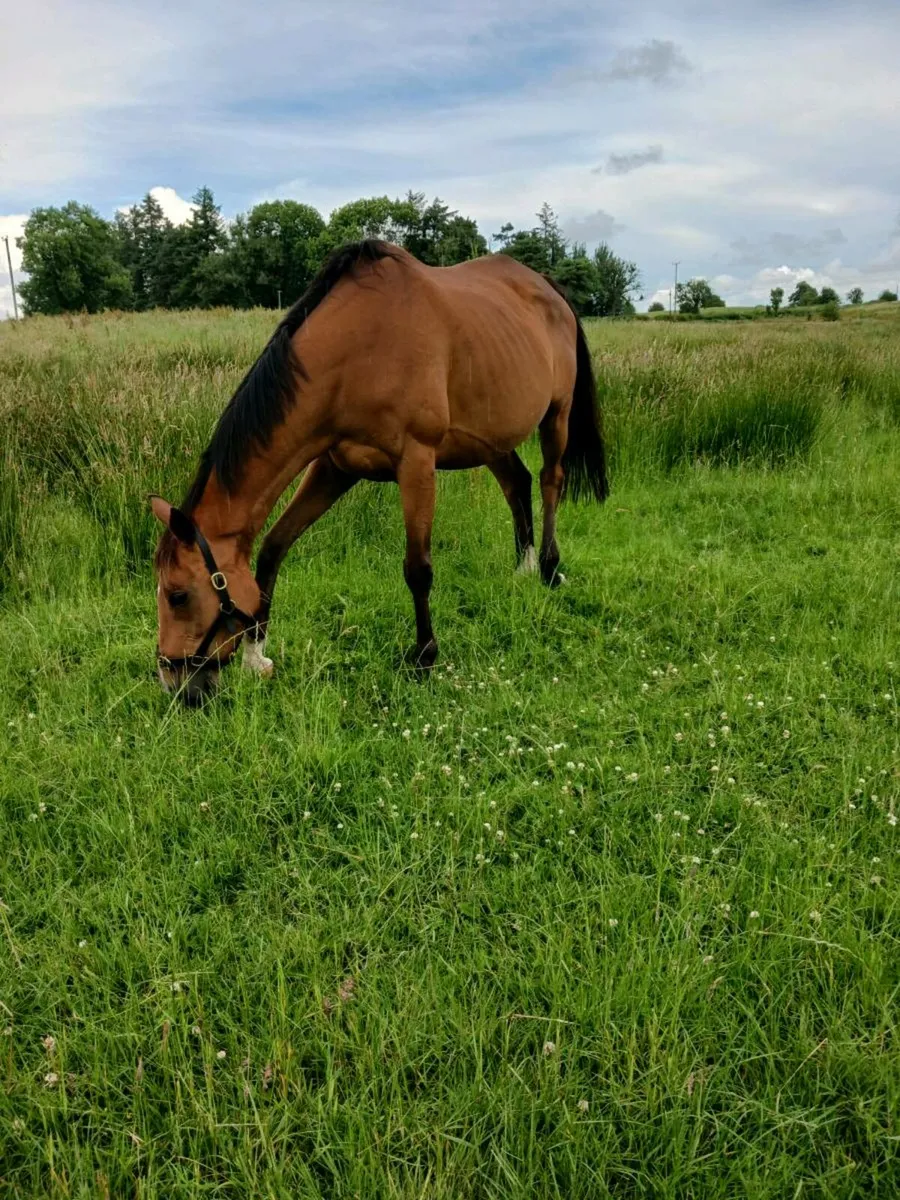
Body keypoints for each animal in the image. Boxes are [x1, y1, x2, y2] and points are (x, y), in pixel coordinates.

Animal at [151, 239, 607, 705]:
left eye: (178, 595)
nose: (174, 682)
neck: (356, 353)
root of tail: (549, 288)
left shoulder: (417, 462)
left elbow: (418, 569)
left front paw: (424, 657)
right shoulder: (332, 468)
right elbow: (274, 547)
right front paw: (256, 656)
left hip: (557, 416)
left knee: (551, 481)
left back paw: (549, 568)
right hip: (491, 437)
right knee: (517, 483)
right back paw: (524, 567)